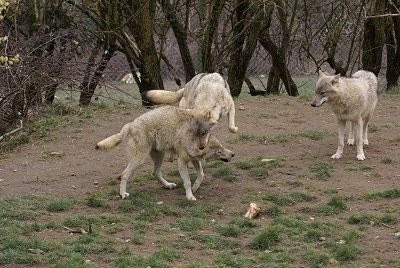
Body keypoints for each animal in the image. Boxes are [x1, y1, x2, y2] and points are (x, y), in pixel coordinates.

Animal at [96, 105, 234, 200]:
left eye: (222, 147)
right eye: (218, 152)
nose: (233, 154)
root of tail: (131, 124)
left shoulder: (194, 159)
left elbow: (201, 174)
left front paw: (195, 188)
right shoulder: (182, 162)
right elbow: (187, 181)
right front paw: (189, 196)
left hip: (159, 156)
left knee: (155, 173)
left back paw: (167, 185)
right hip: (140, 159)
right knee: (124, 175)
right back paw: (123, 194)